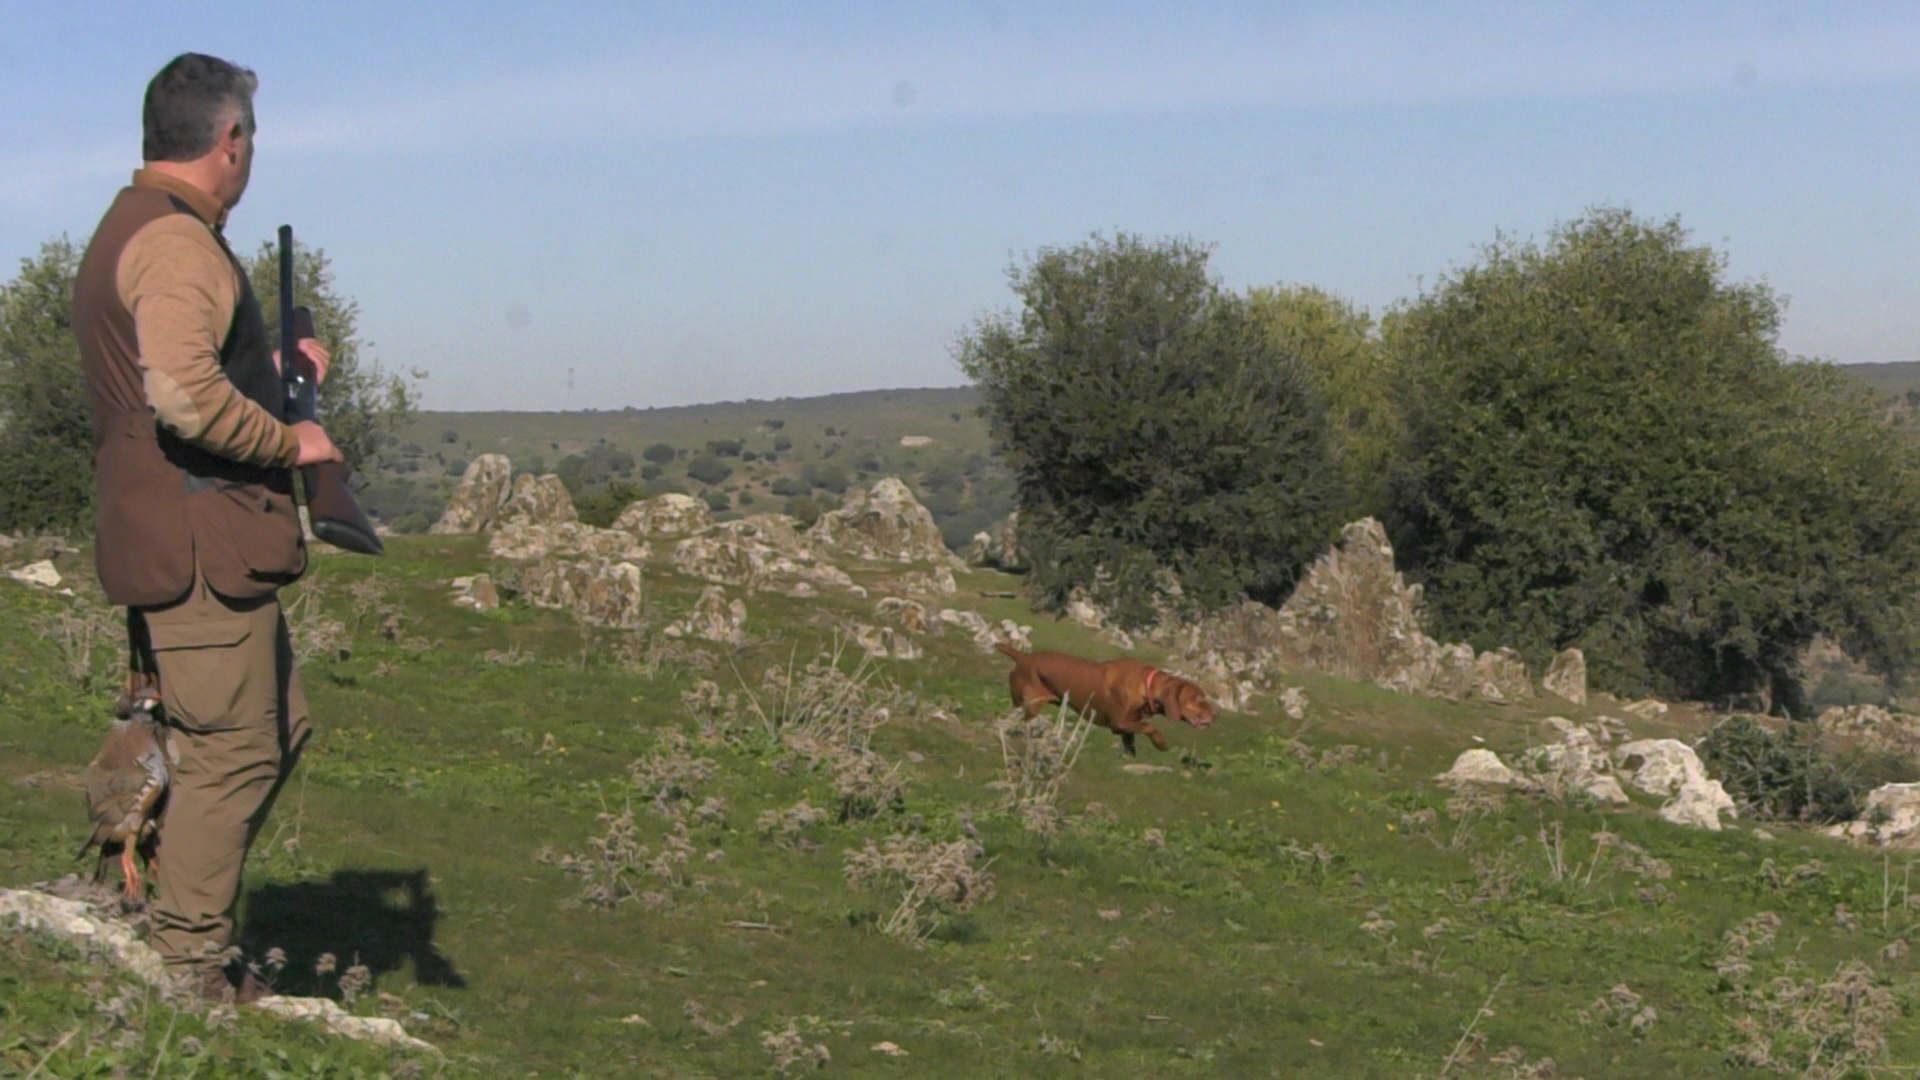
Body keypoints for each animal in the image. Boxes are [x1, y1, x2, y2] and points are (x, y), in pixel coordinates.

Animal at [998, 641, 1221, 753]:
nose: (1216, 714)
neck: (1146, 686)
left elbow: (1131, 743)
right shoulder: (1119, 722)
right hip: (1031, 704)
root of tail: (1022, 656)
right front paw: (1160, 744)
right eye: (1198, 699)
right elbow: (1149, 727)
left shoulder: (1126, 728)